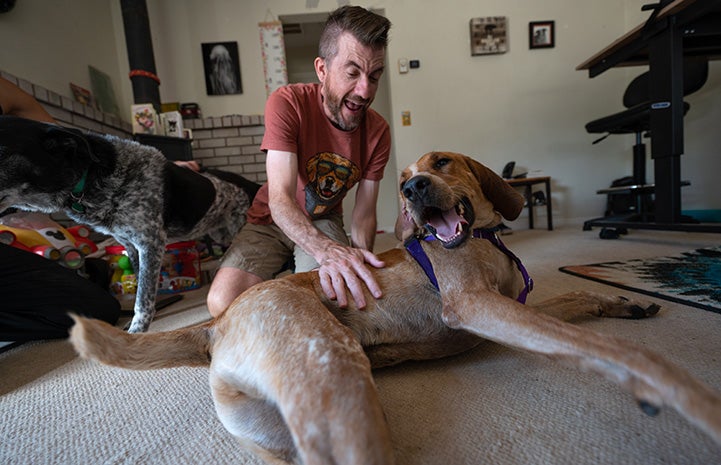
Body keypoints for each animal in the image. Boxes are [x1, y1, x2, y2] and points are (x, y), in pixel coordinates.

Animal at [0, 116, 258, 332]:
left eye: (1, 150)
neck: (94, 176)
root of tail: (251, 184)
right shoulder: (132, 246)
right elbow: (142, 288)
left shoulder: (150, 244)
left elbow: (143, 298)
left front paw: (137, 331)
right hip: (220, 233)